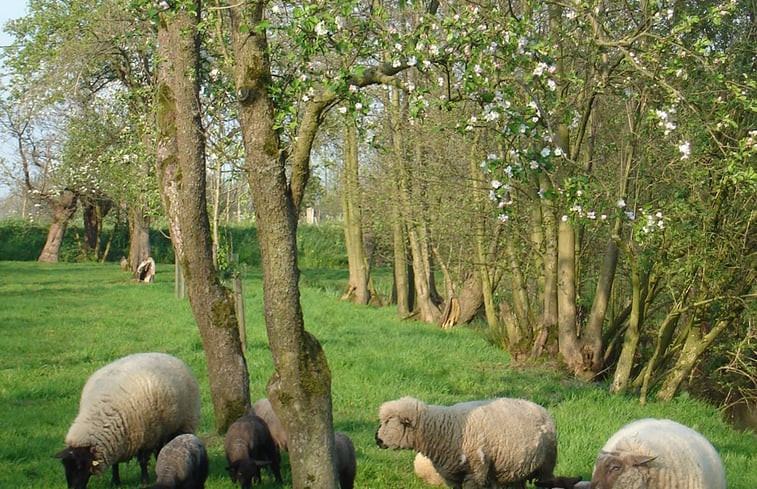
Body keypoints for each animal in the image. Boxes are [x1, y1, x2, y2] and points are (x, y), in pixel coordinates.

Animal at [54, 350, 201, 488]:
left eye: (79, 466)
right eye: (65, 468)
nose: (73, 488)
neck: (100, 412)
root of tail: (167, 355)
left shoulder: (146, 436)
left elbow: (142, 460)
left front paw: (144, 480)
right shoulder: (116, 441)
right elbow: (115, 464)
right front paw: (115, 481)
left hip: (182, 424)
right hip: (162, 429)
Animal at [376, 396, 560, 488]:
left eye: (388, 421)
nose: (376, 439)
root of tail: (540, 408)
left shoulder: (475, 472)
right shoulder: (451, 475)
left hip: (546, 466)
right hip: (514, 471)